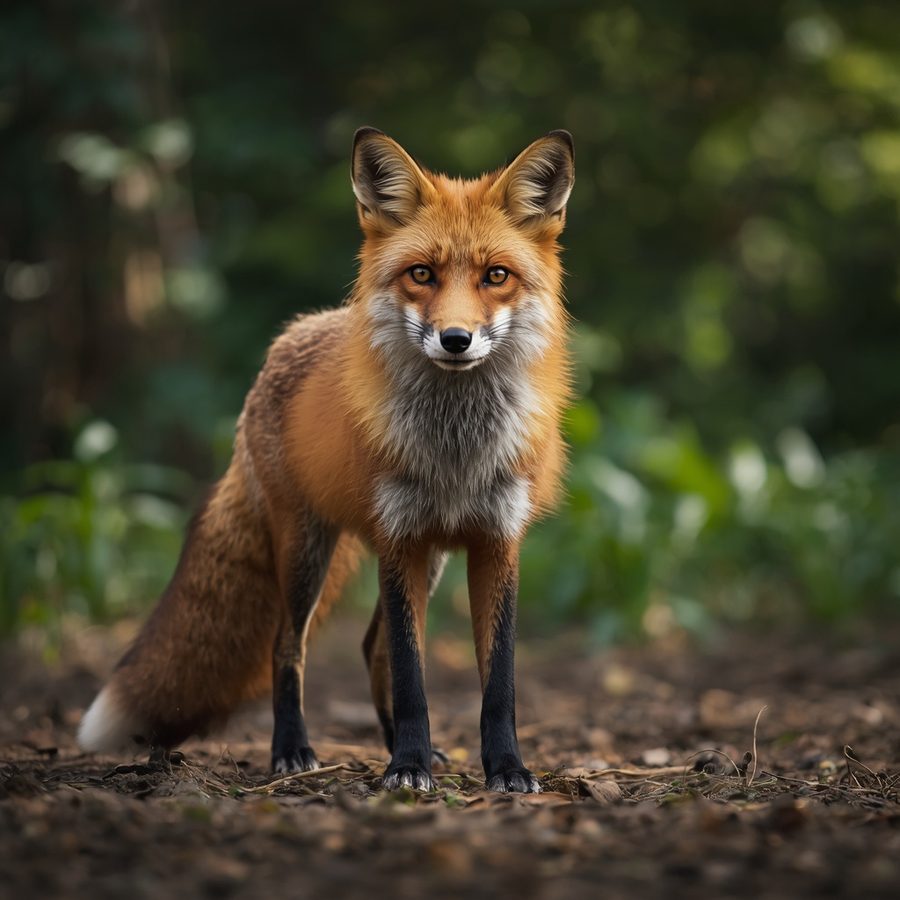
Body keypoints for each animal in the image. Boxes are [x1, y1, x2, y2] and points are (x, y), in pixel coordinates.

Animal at [78, 127, 575, 793]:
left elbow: (498, 683)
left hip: (429, 556)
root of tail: (293, 334)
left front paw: (505, 769)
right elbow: (413, 679)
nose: (455, 339)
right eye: (422, 274)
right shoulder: (397, 538)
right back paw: (293, 750)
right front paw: (407, 769)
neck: (454, 450)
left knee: (373, 647)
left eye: (496, 276)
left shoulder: (496, 540)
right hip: (306, 548)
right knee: (288, 647)